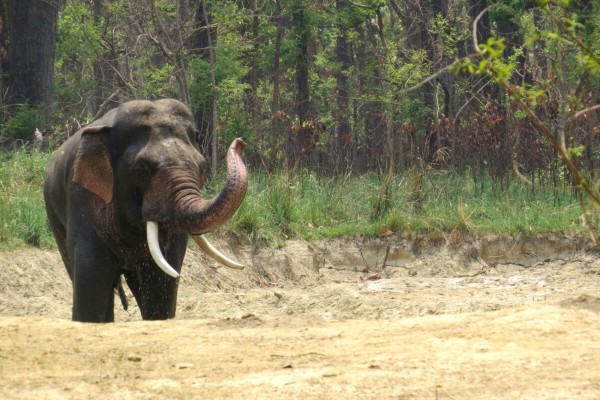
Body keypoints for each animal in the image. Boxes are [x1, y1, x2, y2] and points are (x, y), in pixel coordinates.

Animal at [42, 98, 246, 324]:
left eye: (201, 166)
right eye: (140, 171)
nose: (240, 143)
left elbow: (162, 278)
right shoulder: (82, 195)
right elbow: (90, 272)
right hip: (53, 212)